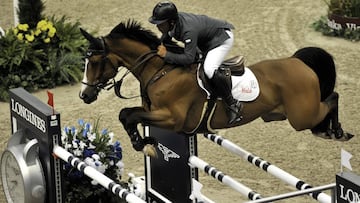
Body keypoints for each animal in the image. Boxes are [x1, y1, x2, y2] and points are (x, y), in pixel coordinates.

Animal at [79, 20, 352, 155]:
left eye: (95, 61)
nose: (85, 95)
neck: (160, 72)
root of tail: (297, 62)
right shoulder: (153, 112)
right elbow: (127, 114)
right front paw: (143, 141)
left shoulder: (173, 119)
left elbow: (129, 115)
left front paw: (140, 142)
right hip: (282, 114)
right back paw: (330, 131)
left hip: (300, 116)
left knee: (333, 98)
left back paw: (336, 132)